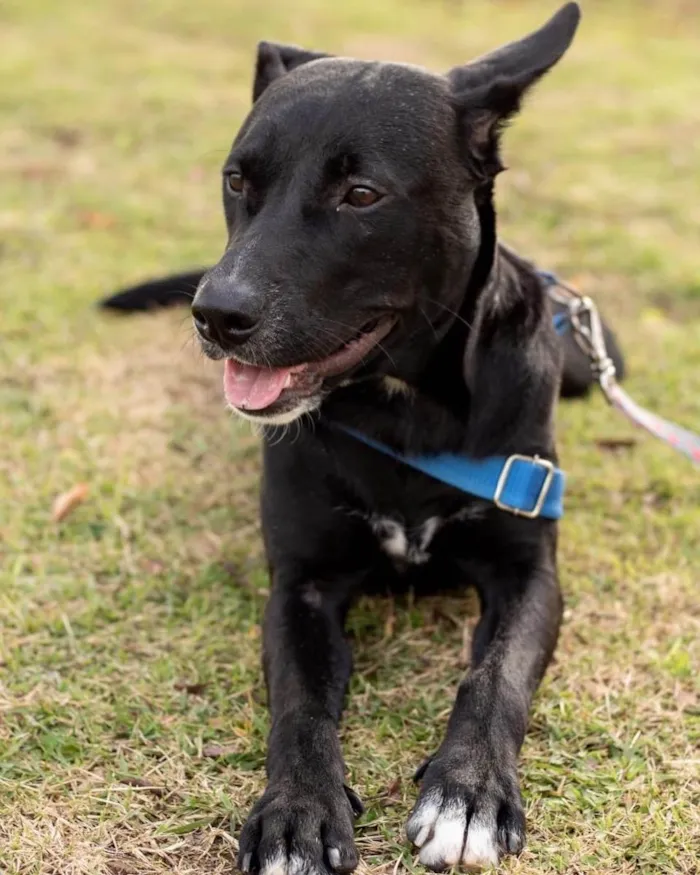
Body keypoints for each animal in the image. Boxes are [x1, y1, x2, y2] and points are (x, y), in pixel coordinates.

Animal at [98, 5, 624, 868]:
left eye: (362, 194)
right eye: (237, 180)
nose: (215, 315)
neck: (405, 409)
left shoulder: (531, 573)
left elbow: (495, 677)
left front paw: (467, 792)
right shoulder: (302, 585)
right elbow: (300, 706)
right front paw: (297, 812)